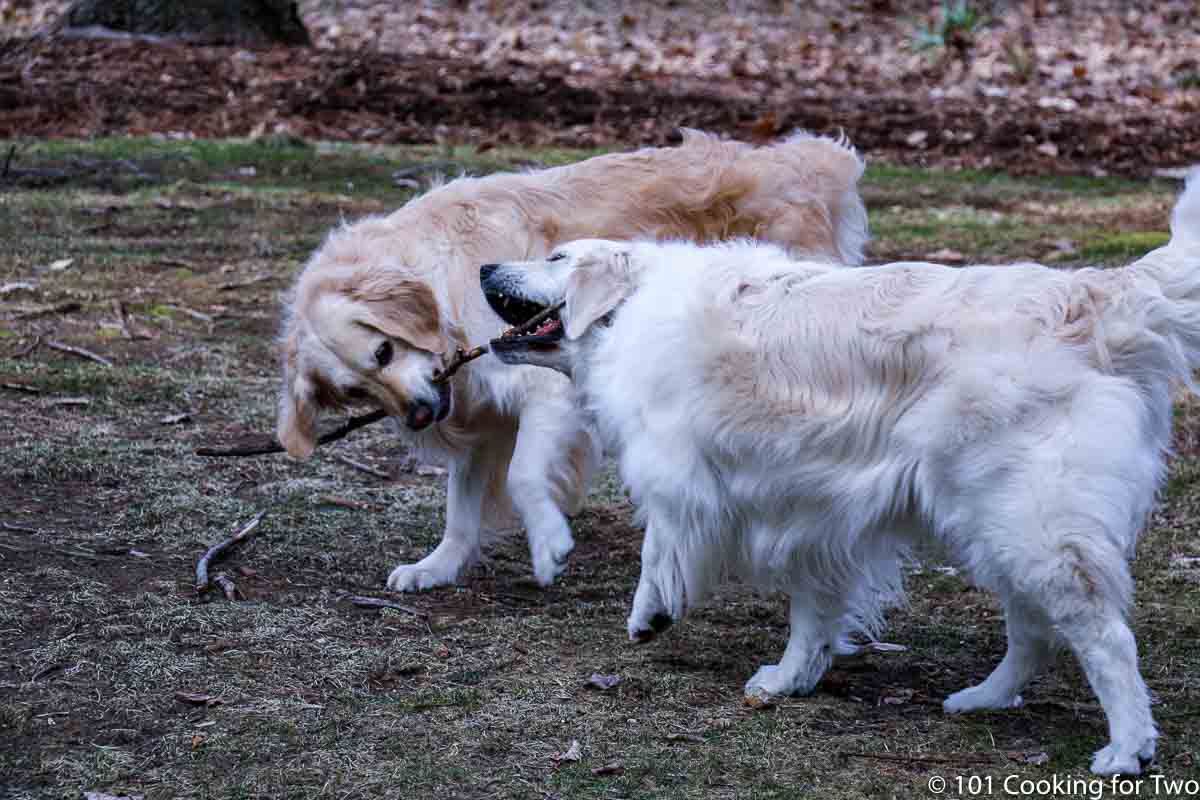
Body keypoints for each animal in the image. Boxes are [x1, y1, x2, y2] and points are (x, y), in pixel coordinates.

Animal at [276, 131, 868, 592]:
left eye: (384, 350)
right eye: (355, 392)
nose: (420, 417)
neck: (440, 279)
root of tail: (808, 161)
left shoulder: (547, 386)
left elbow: (522, 476)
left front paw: (548, 545)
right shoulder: (482, 418)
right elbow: (461, 507)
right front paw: (437, 566)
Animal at [477, 172, 1200, 772]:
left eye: (556, 258)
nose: (485, 266)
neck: (631, 308)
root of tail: (1094, 291)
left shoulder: (683, 472)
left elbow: (661, 544)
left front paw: (651, 612)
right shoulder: (815, 512)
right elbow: (813, 615)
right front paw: (789, 680)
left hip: (1033, 524)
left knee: (1103, 638)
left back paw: (1128, 747)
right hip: (994, 521)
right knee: (1034, 632)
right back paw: (984, 698)